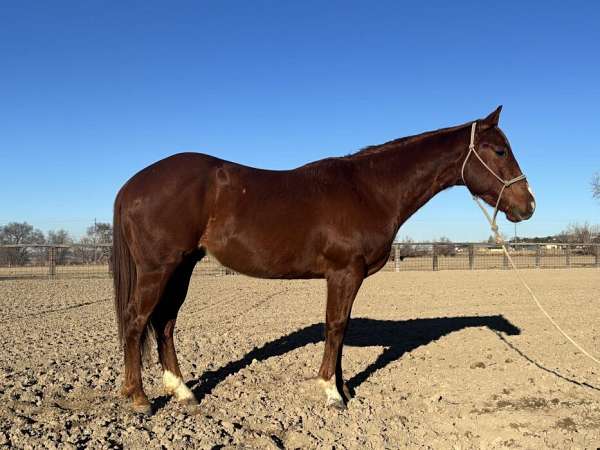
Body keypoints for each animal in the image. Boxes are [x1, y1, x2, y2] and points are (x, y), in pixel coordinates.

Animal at [112, 107, 536, 414]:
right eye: (500, 150)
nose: (528, 205)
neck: (369, 189)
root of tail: (132, 185)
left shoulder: (350, 276)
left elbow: (342, 330)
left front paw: (344, 386)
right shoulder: (344, 273)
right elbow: (335, 326)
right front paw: (332, 393)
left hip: (182, 267)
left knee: (165, 323)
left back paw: (183, 392)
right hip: (159, 269)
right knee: (135, 321)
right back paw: (139, 398)